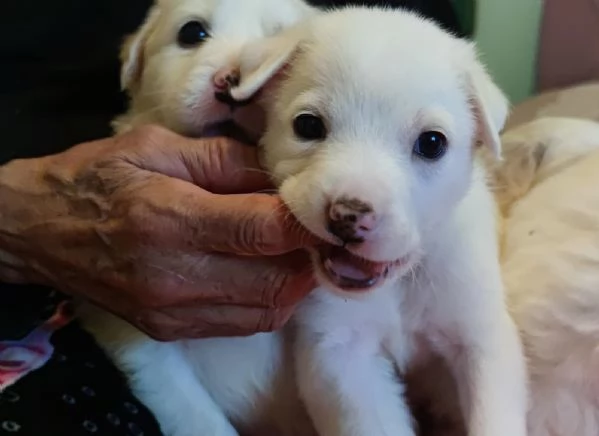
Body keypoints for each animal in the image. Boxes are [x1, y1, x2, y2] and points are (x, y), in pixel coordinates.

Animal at [82, 3, 528, 436]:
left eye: (432, 143)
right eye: (308, 125)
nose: (348, 216)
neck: (397, 286)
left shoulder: (481, 337)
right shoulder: (341, 356)